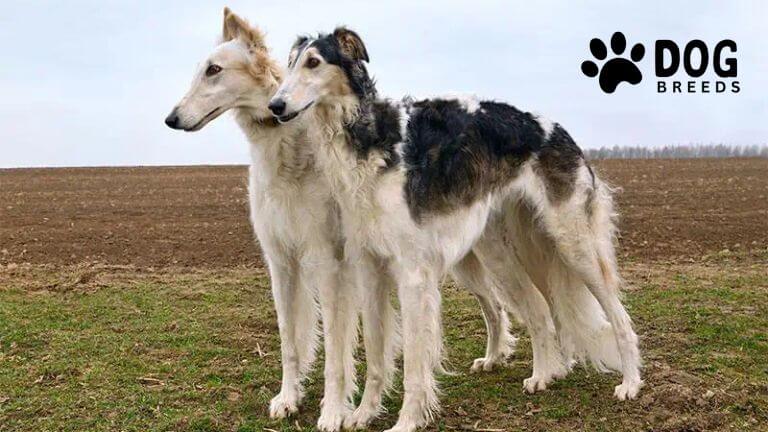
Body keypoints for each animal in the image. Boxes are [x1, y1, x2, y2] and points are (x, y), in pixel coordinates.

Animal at [270, 28, 640, 430]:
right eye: (290, 63)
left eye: (313, 62)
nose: (275, 106)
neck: (370, 139)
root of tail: (560, 131)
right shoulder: (369, 266)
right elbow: (375, 352)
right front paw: (363, 413)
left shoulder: (413, 274)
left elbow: (414, 364)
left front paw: (406, 421)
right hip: (502, 254)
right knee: (540, 310)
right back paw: (543, 374)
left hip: (574, 244)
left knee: (617, 315)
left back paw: (630, 382)